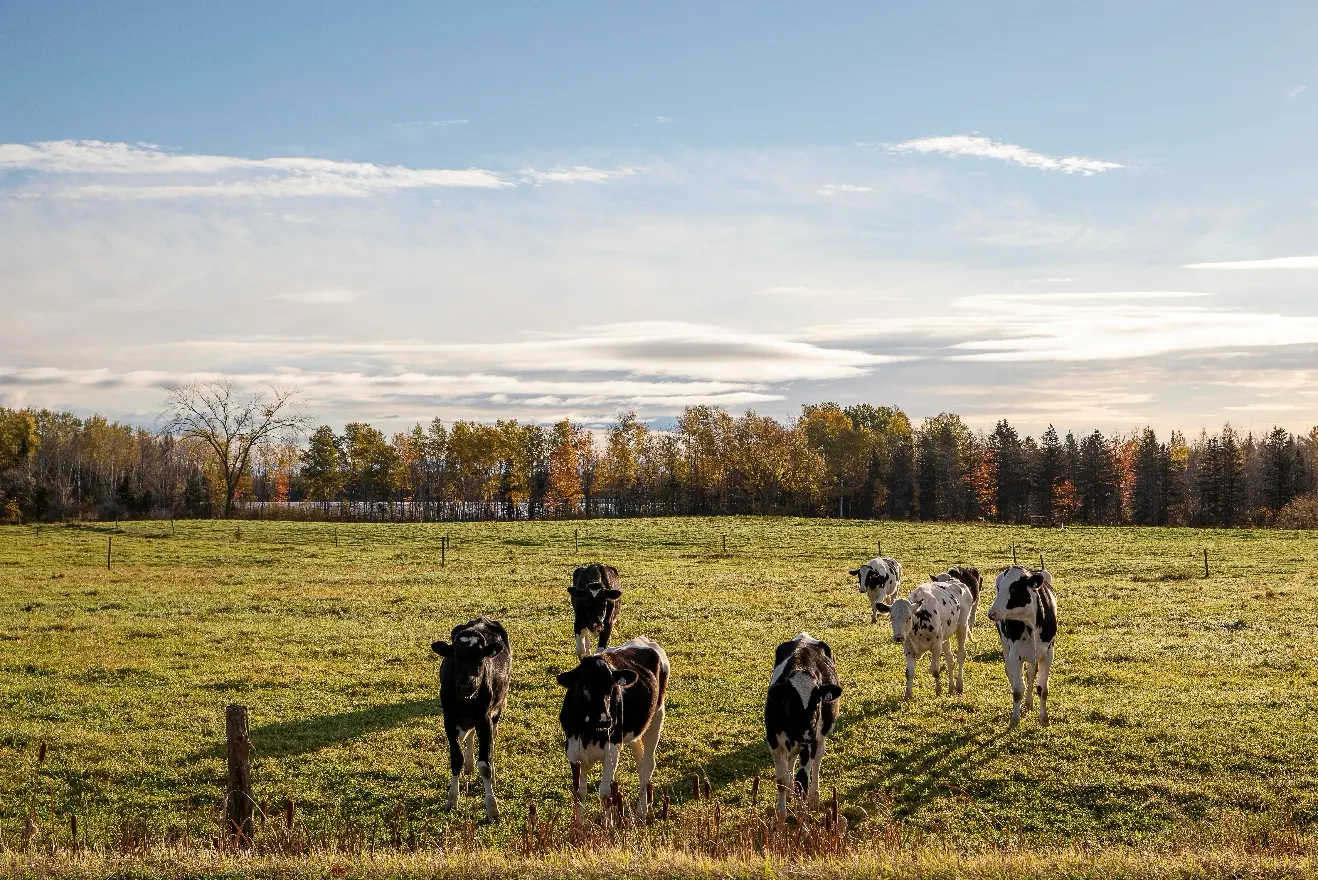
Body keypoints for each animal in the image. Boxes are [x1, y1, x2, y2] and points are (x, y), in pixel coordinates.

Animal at [430, 616, 511, 821]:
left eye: (480, 657)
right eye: (455, 656)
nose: (466, 685)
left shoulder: (485, 718)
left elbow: (485, 765)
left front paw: (492, 808)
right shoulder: (449, 720)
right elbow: (455, 758)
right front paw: (452, 799)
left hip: (497, 709)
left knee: (491, 741)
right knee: (469, 736)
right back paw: (468, 765)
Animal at [557, 636, 669, 823]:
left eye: (612, 687)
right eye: (584, 687)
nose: (605, 720)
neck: (590, 733)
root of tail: (643, 640)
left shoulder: (612, 750)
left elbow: (605, 794)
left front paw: (608, 825)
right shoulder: (573, 751)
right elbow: (579, 793)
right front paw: (577, 826)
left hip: (656, 716)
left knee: (648, 764)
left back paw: (641, 812)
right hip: (634, 732)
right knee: (640, 763)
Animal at [765, 633, 842, 816]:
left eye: (817, 701)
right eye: (791, 701)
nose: (807, 734)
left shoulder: (809, 743)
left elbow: (802, 782)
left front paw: (802, 818)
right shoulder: (773, 741)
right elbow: (782, 780)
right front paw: (781, 814)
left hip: (819, 737)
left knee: (817, 760)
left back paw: (814, 797)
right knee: (791, 763)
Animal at [986, 566, 1058, 729]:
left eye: (1013, 588)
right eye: (1000, 588)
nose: (991, 613)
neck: (1031, 623)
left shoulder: (1048, 653)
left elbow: (1043, 689)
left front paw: (1044, 719)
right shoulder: (1015, 654)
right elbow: (1018, 690)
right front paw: (1014, 720)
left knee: (1031, 673)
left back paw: (1029, 703)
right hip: (1005, 644)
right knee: (1010, 673)